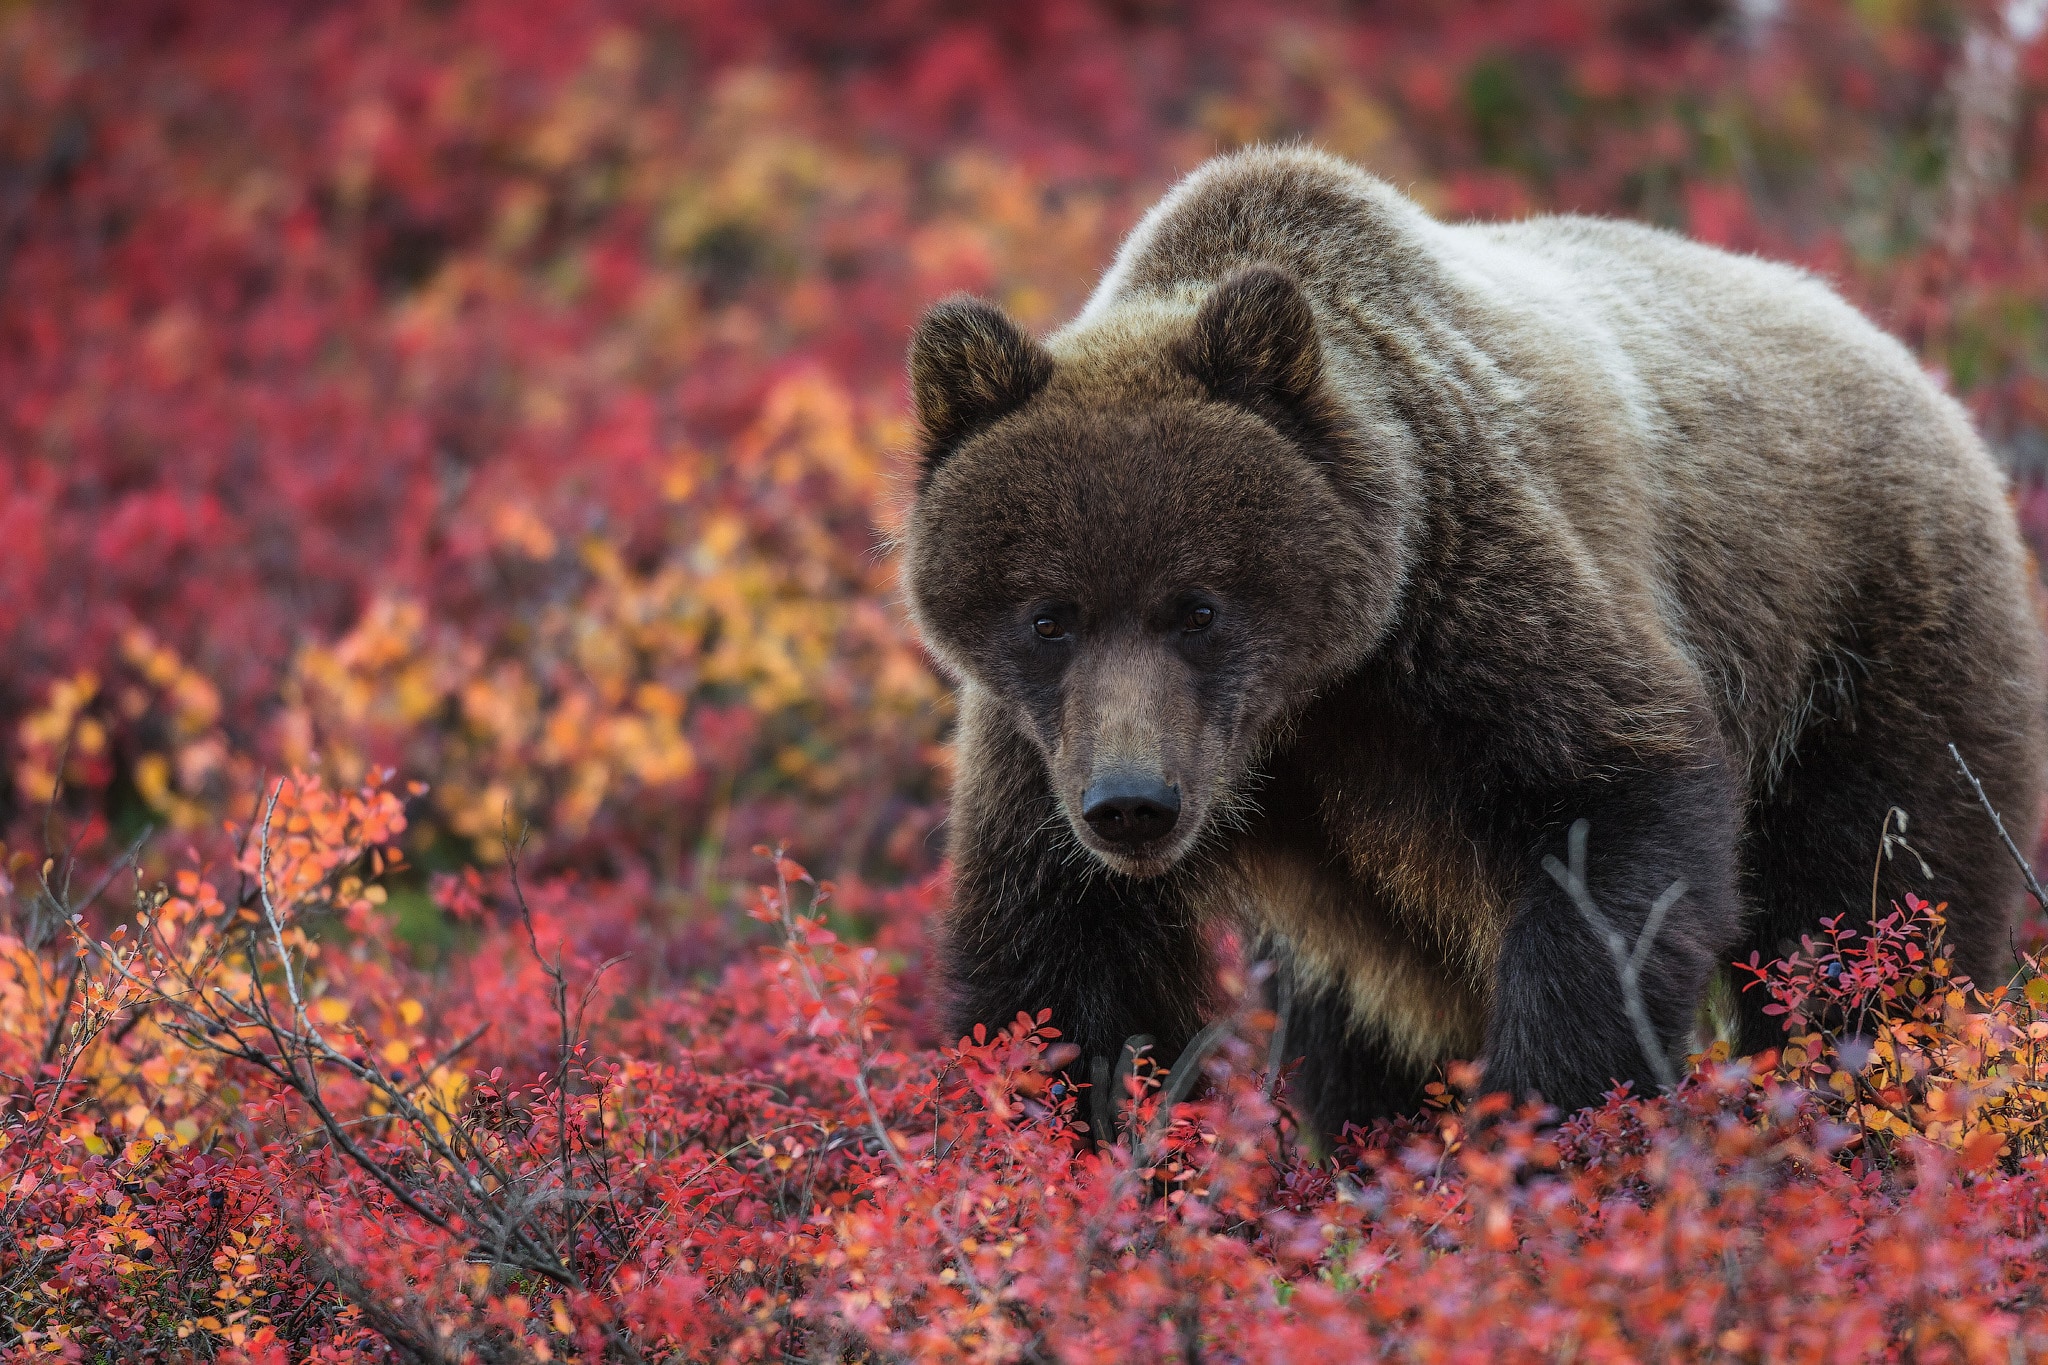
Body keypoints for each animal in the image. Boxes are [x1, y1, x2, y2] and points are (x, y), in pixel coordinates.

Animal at [898, 145, 2048, 1137]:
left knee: (1872, 916)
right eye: (1048, 615)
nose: (1132, 803)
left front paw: (1548, 1113)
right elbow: (1063, 970)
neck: (1304, 702)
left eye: (1199, 606)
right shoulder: (1040, 752)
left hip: (1866, 645)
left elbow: (1612, 814)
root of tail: (1917, 369)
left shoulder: (1469, 611)